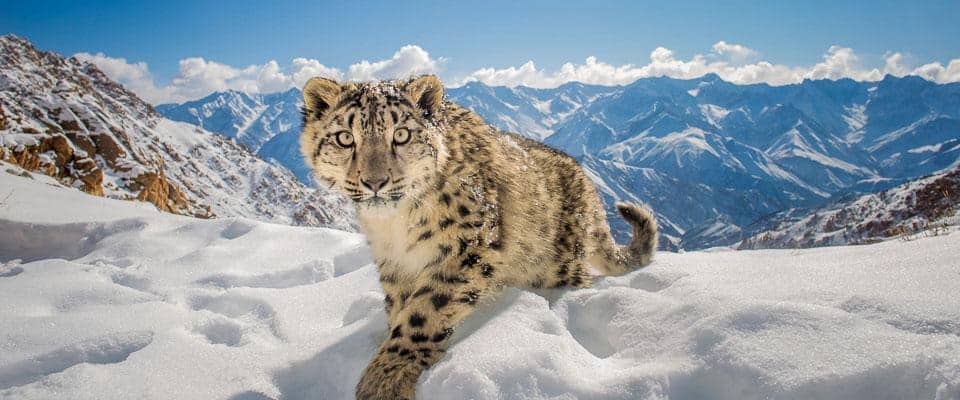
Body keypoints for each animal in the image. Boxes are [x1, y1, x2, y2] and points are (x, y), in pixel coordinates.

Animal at [299, 75, 658, 399]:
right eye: (345, 138)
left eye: (401, 134)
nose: (375, 181)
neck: (396, 227)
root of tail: (587, 185)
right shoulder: (393, 264)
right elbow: (400, 307)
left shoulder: (465, 247)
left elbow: (424, 311)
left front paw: (386, 378)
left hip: (553, 264)